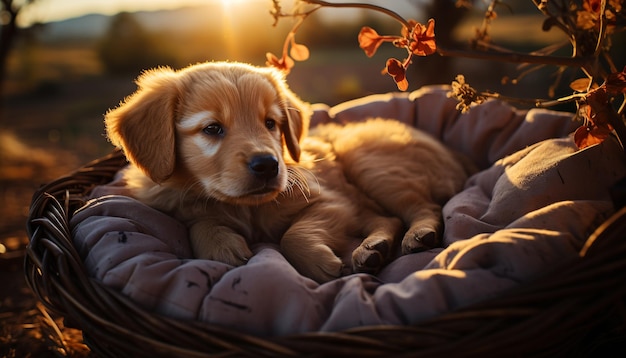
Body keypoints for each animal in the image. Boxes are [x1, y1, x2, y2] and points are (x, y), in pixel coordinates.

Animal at [103, 61, 468, 282]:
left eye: (271, 123)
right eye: (212, 129)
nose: (267, 165)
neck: (248, 208)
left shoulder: (332, 202)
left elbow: (292, 235)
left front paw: (319, 262)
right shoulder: (183, 204)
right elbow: (201, 221)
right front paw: (220, 245)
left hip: (369, 163)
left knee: (422, 208)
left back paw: (417, 235)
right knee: (387, 219)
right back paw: (371, 251)